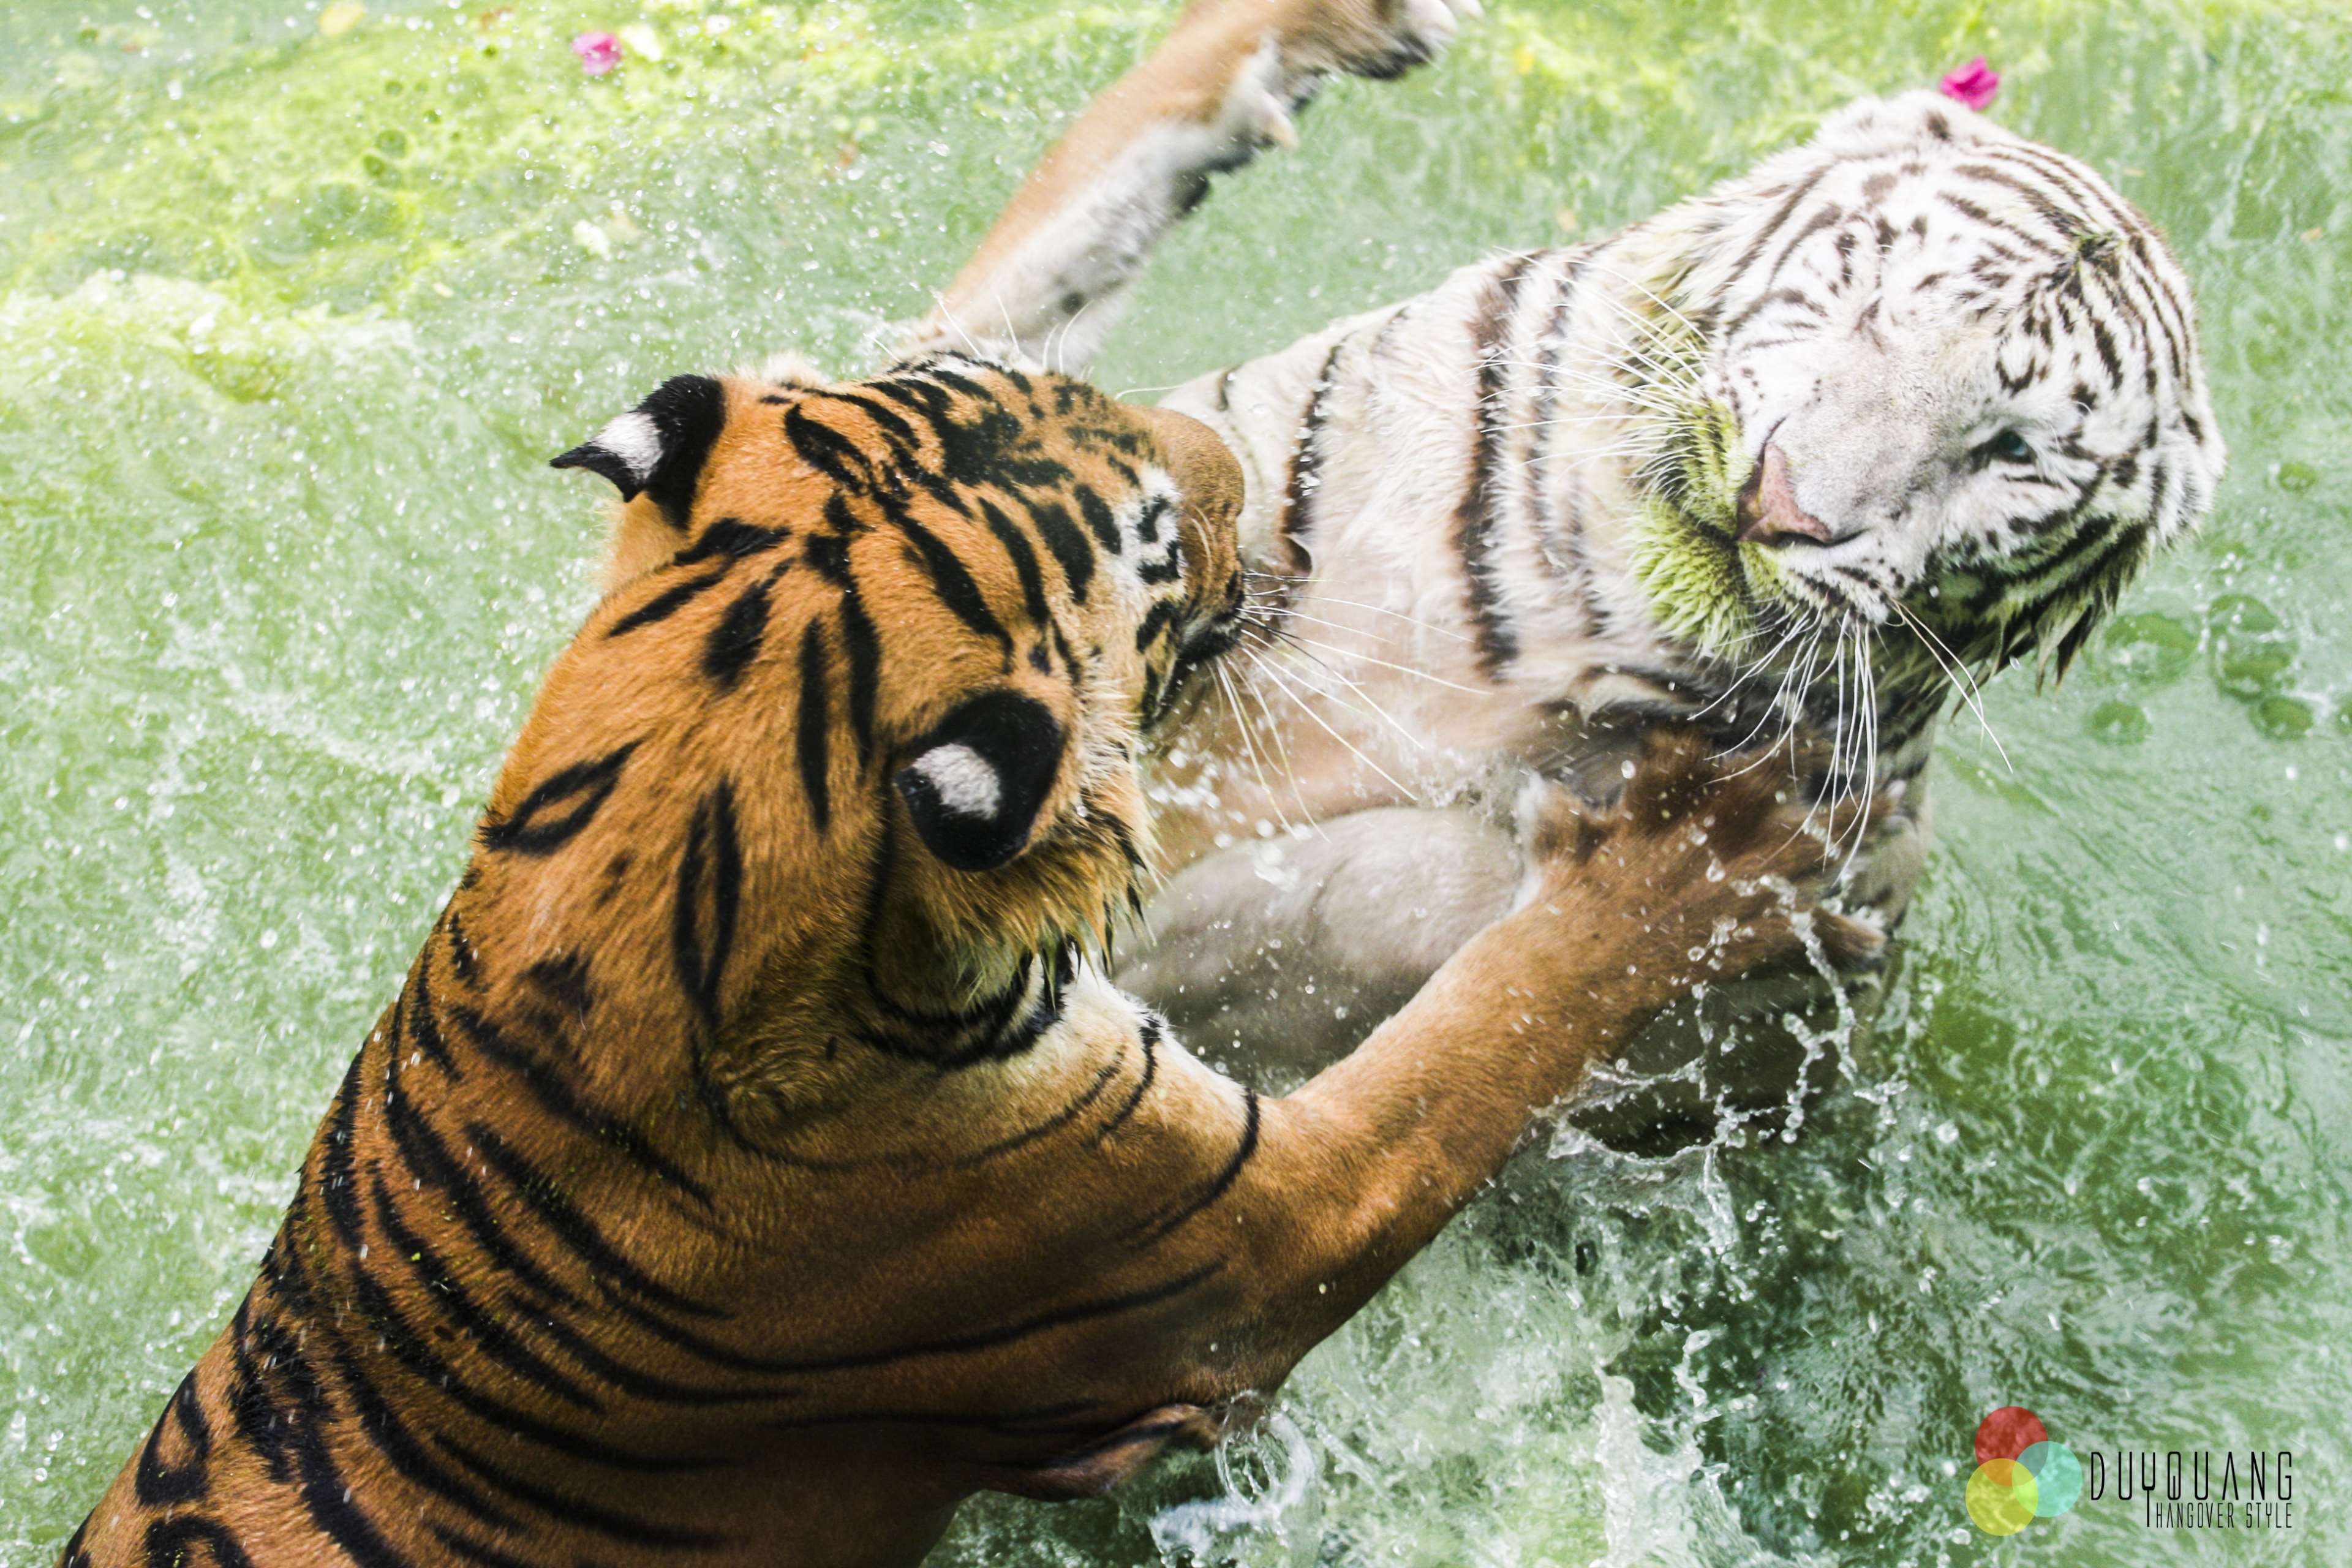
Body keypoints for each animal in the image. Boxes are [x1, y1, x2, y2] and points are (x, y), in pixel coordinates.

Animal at [61, 347, 1878, 1566]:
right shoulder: (1255, 1235)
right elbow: (1490, 1031)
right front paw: (1714, 844)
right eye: (1156, 536)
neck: (662, 808)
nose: (1232, 447)